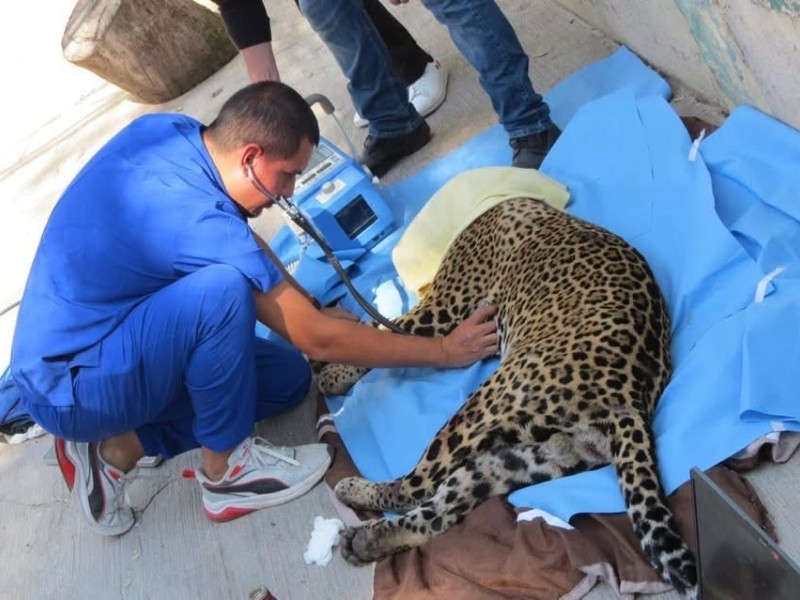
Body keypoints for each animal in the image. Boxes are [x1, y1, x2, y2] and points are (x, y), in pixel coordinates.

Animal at [318, 197, 698, 598]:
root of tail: (628, 396)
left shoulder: (444, 305)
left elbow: (384, 329)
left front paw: (332, 373)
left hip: (478, 410)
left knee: (415, 487)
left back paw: (356, 497)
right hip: (528, 460)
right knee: (440, 512)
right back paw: (365, 540)